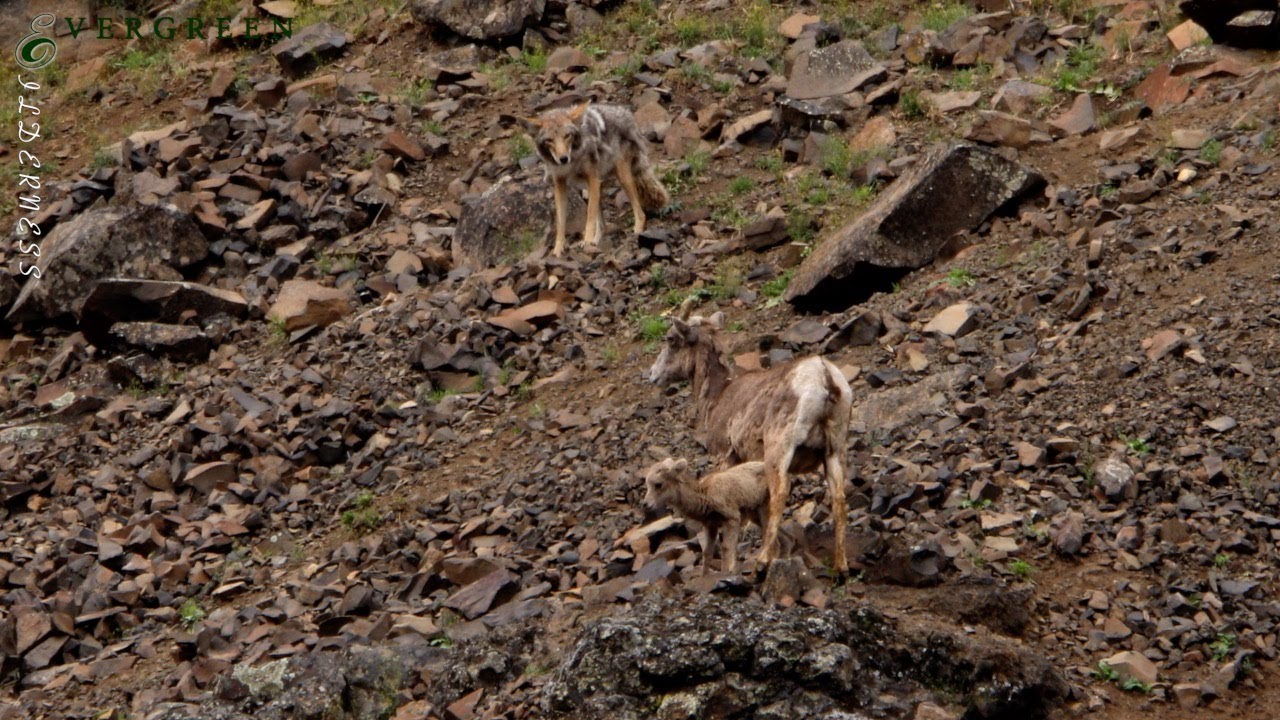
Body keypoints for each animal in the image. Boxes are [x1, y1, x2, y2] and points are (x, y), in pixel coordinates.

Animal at [648, 312, 853, 578]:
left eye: (671, 339)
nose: (652, 374)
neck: (719, 395)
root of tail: (823, 376)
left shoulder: (725, 457)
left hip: (778, 450)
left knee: (779, 493)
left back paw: (763, 562)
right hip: (835, 451)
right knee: (838, 498)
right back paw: (841, 568)